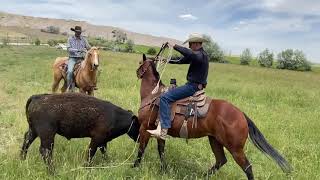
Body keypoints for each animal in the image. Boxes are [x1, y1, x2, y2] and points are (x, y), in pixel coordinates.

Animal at [133, 54, 292, 179]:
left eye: (140, 63)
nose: (137, 72)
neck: (152, 95)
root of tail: (241, 115)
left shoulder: (145, 128)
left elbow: (141, 149)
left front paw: (134, 167)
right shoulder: (160, 133)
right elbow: (161, 151)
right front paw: (164, 169)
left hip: (235, 149)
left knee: (247, 167)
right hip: (215, 140)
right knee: (221, 160)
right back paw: (202, 176)